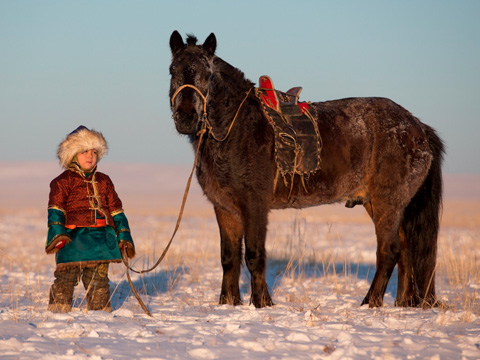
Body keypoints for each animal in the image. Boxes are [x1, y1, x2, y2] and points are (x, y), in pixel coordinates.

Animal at [167, 30, 444, 310]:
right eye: (172, 70)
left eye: (208, 74)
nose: (186, 117)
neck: (237, 128)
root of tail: (416, 127)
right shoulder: (225, 208)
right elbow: (229, 257)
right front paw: (228, 303)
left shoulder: (254, 205)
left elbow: (255, 255)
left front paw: (262, 303)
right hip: (381, 204)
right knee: (406, 249)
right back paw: (404, 302)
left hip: (387, 202)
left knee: (389, 251)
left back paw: (370, 302)